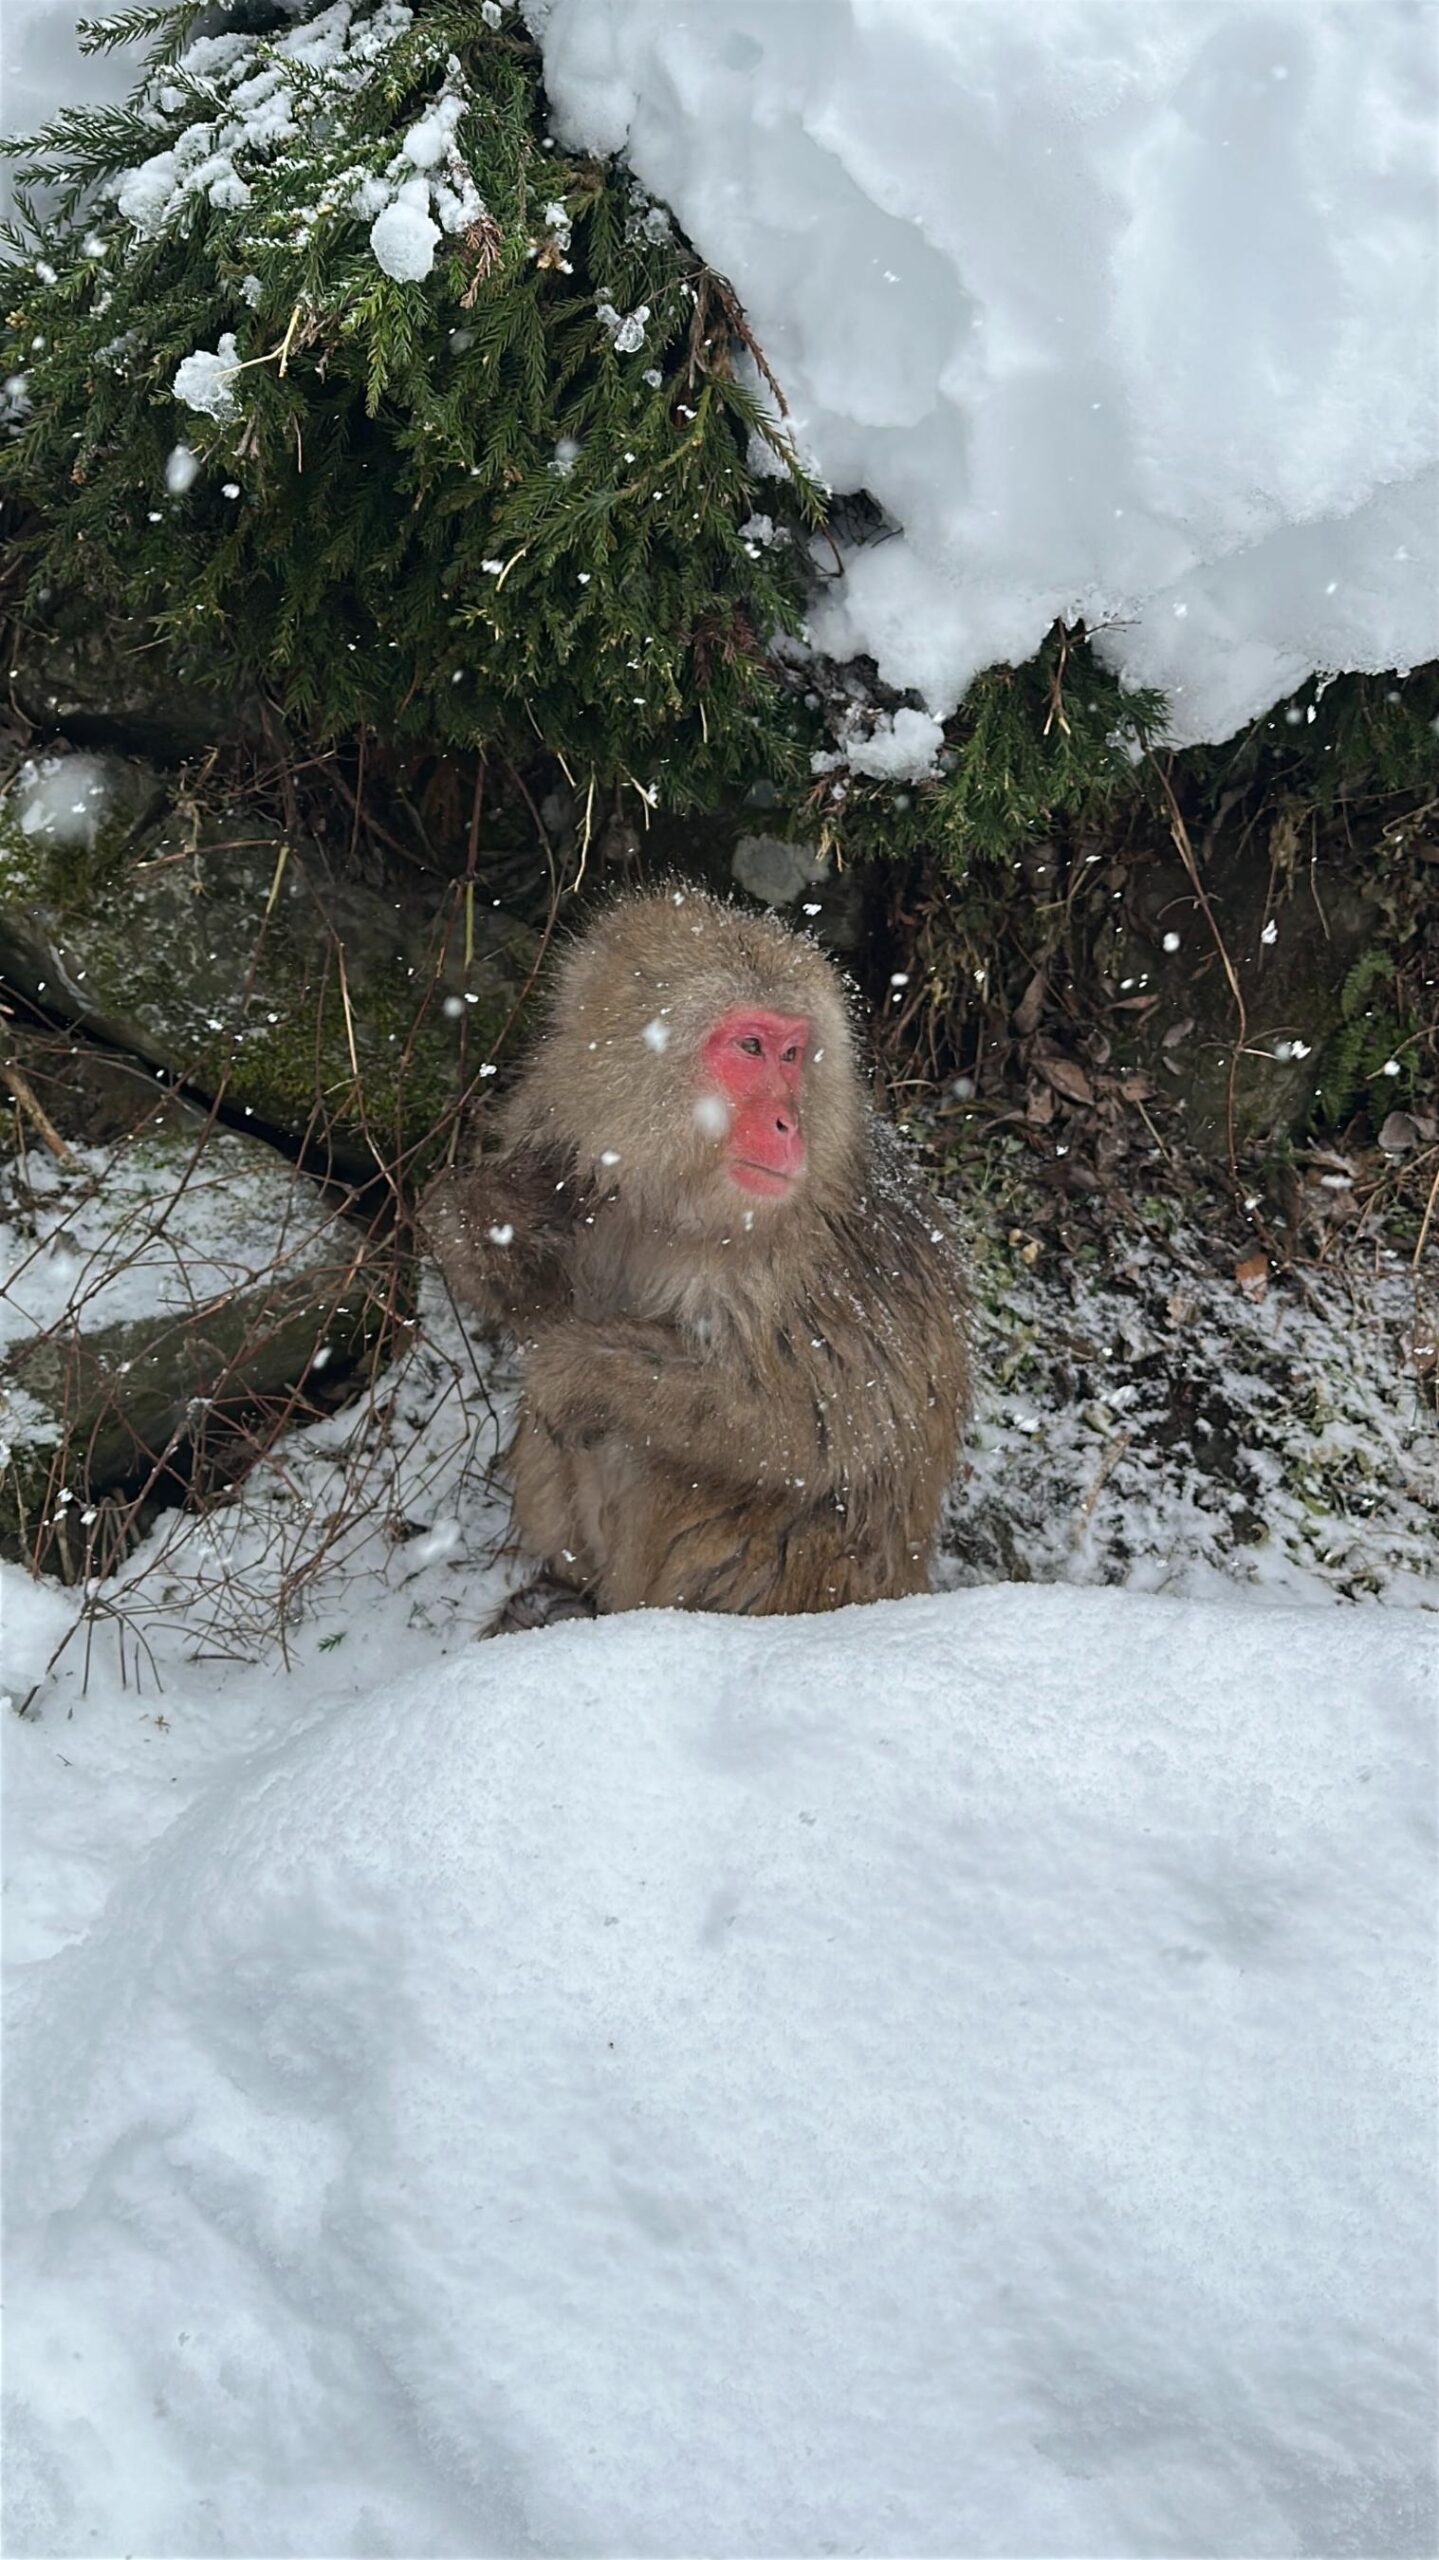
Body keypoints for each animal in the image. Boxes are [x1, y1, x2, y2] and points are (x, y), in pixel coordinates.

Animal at [420, 888, 969, 1630]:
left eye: (792, 1053)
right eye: (749, 1047)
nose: (788, 1125)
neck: (677, 1200)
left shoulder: (821, 1259)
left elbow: (823, 1425)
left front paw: (578, 1372)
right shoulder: (557, 1132)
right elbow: (503, 1253)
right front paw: (493, 1220)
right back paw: (558, 1595)